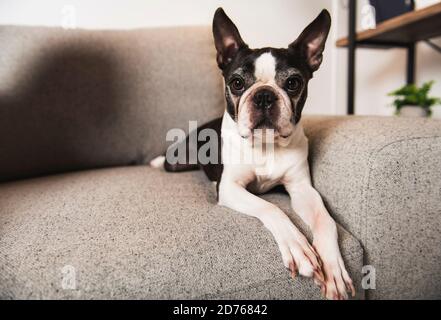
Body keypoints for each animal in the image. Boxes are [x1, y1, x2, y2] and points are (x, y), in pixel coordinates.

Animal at [151, 8, 354, 300]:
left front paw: (333, 267)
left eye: (293, 83)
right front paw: (297, 246)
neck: (265, 146)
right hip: (178, 161)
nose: (264, 95)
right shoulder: (230, 188)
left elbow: (325, 221)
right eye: (237, 83)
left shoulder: (303, 189)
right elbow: (271, 207)